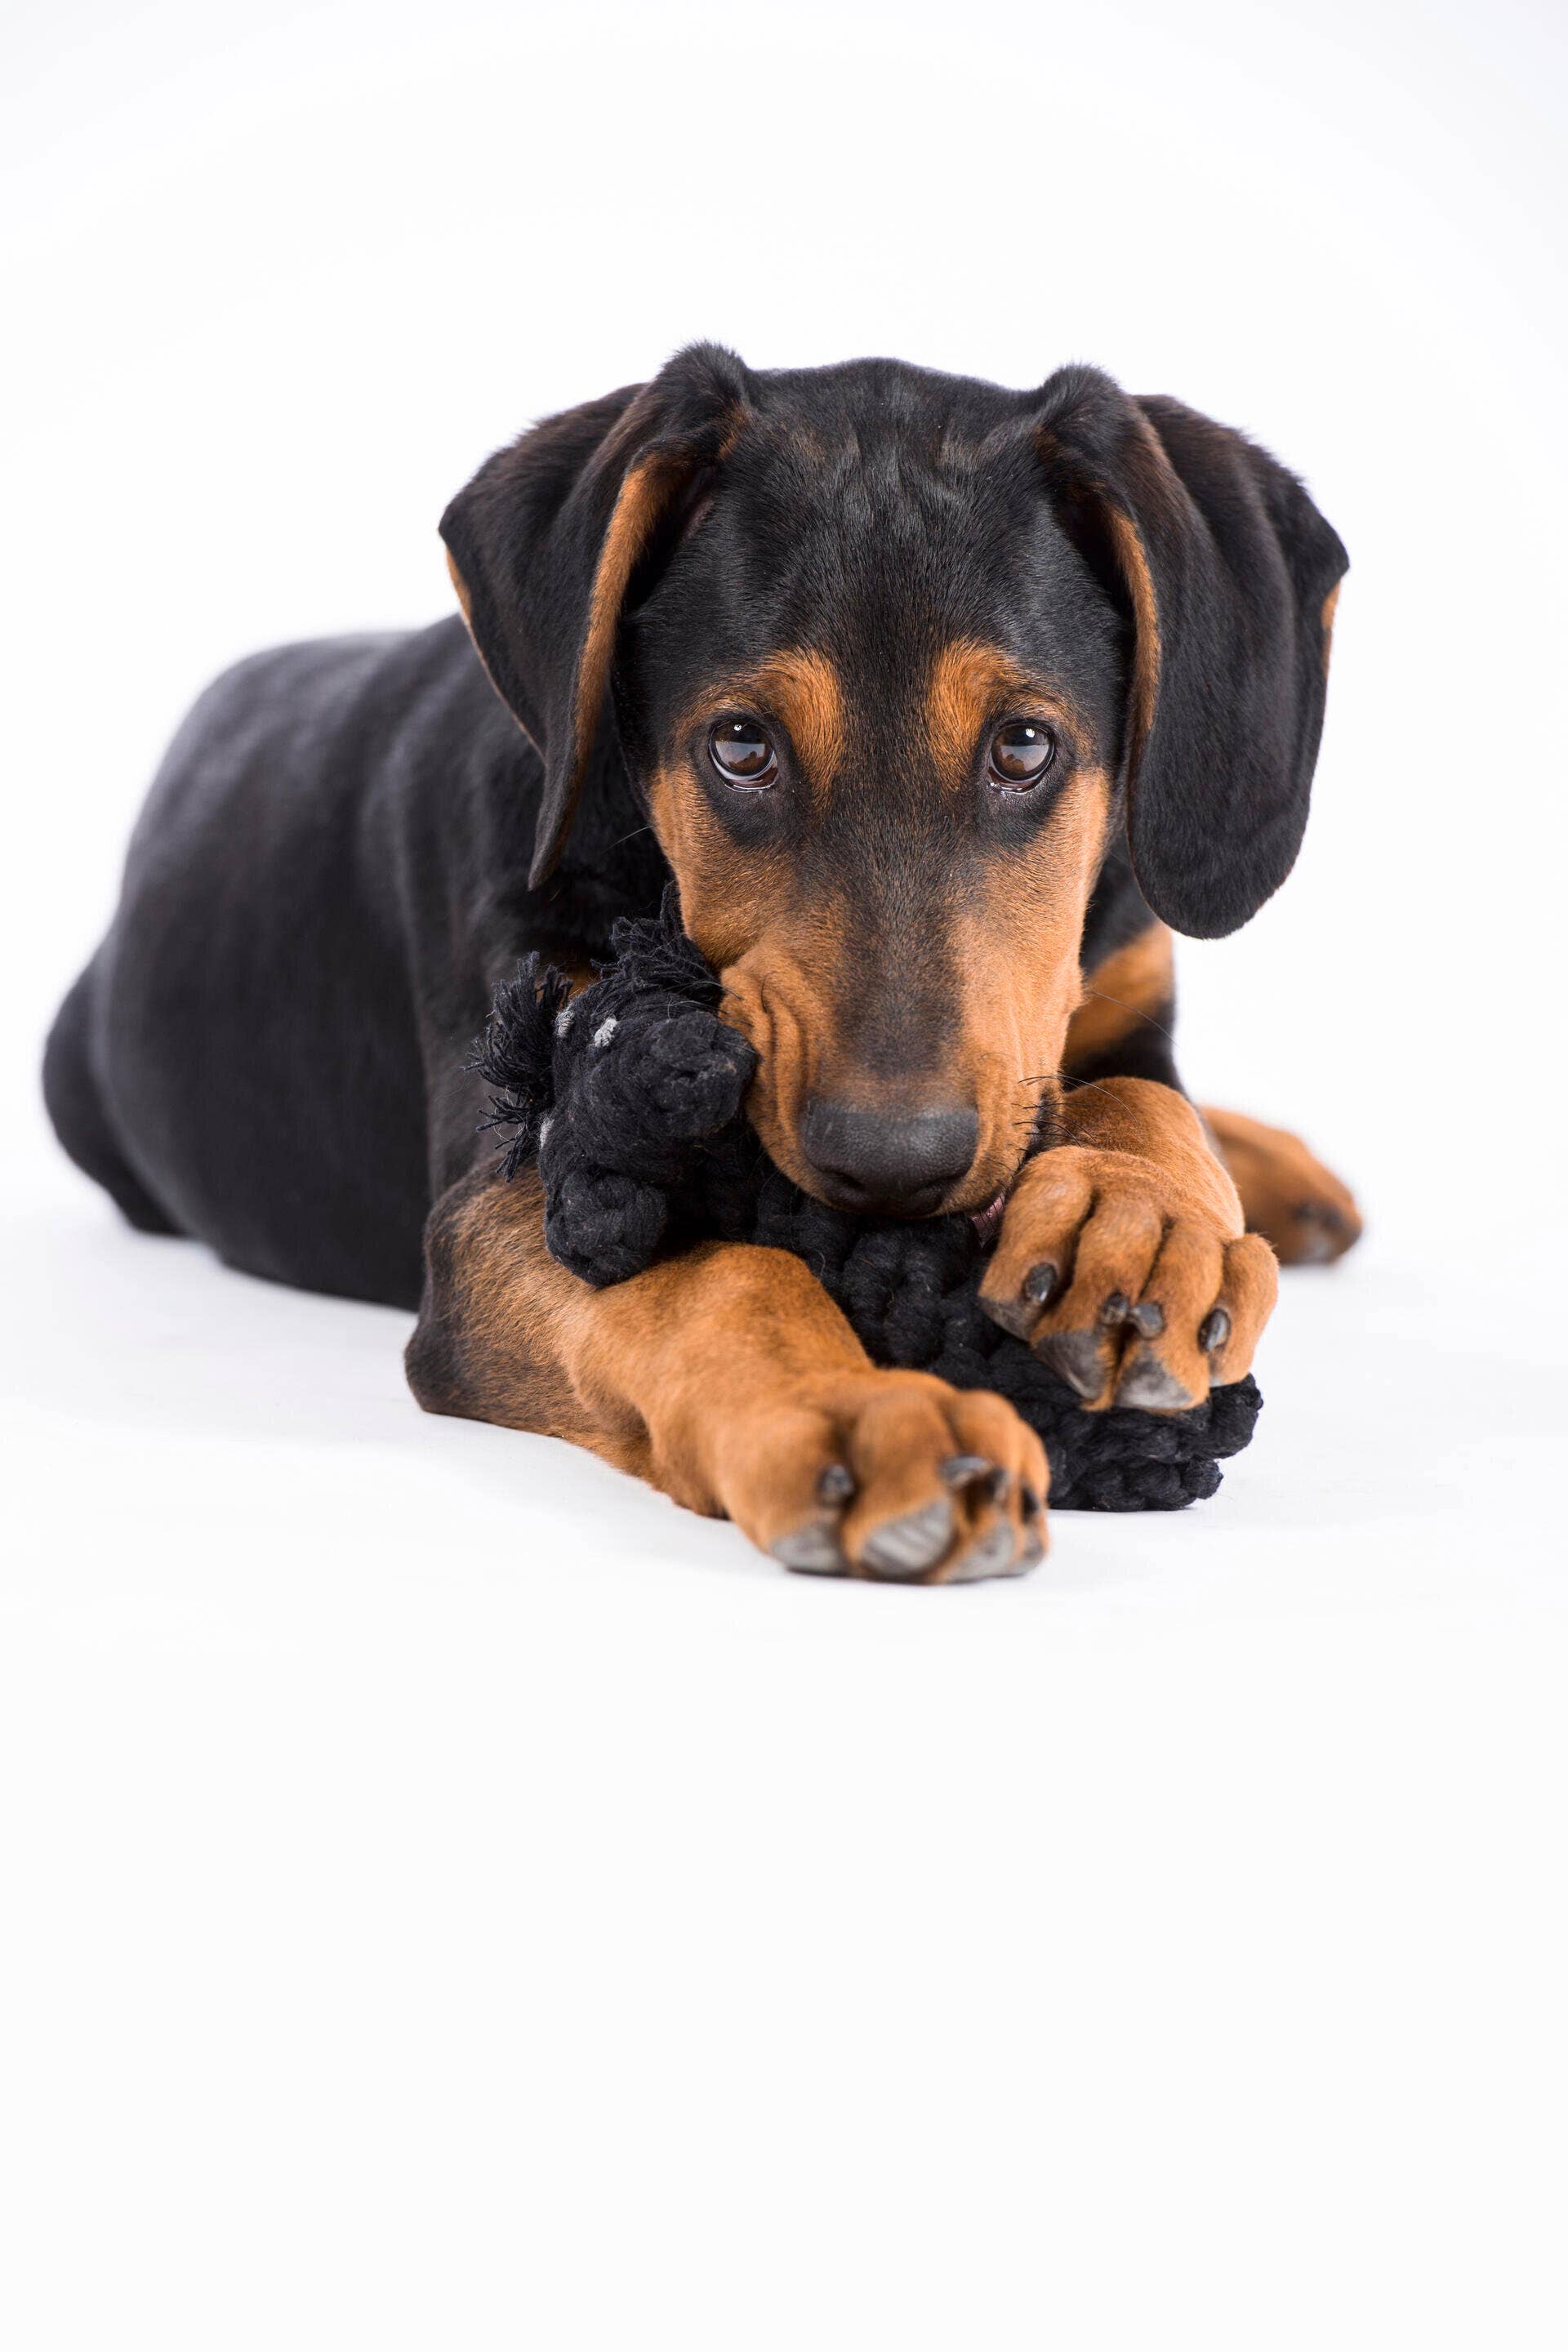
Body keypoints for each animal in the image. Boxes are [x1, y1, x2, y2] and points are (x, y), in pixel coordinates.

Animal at [39, 343, 1363, 1580]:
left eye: (1026, 746)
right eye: (739, 746)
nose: (892, 1166)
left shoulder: (1122, 988)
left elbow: (1147, 1100)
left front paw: (1140, 1225)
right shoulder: (522, 1168)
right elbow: (719, 1275)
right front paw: (860, 1413)